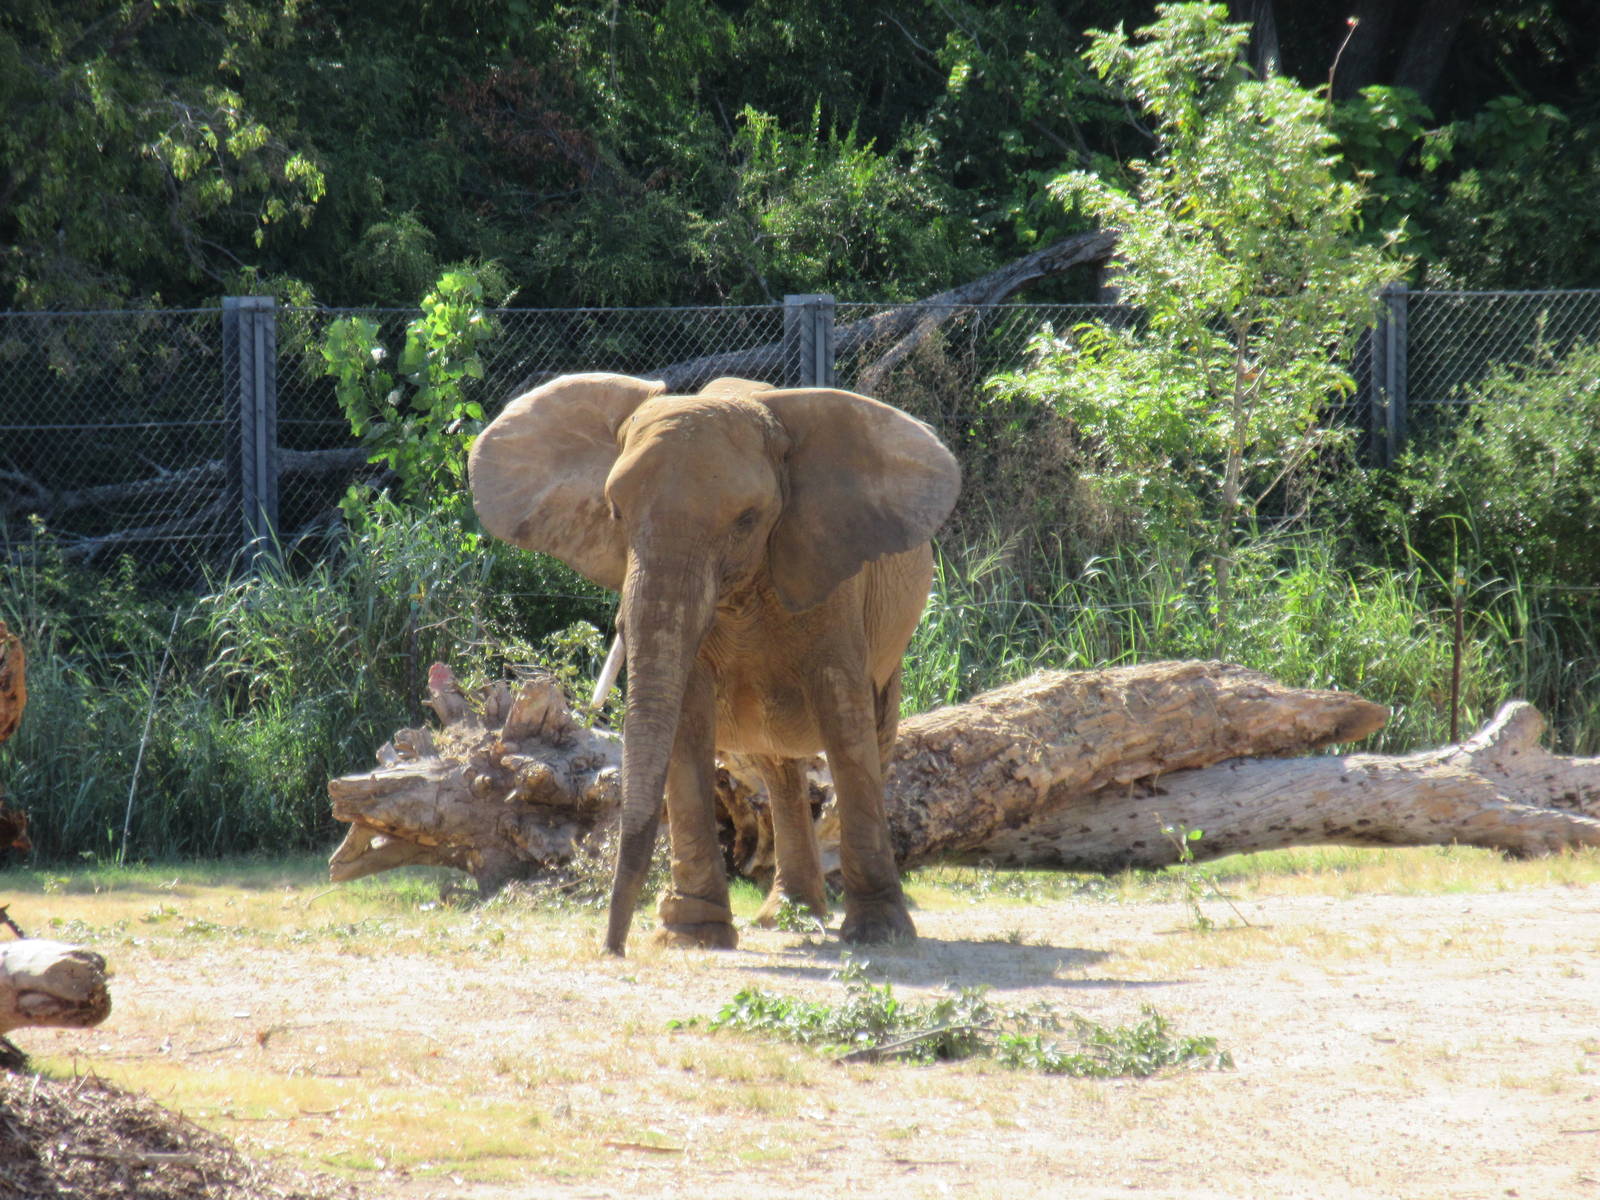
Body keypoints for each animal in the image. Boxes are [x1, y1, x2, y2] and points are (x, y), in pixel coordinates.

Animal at [468, 372, 959, 955]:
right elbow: (685, 719)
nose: (612, 949)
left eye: (747, 520)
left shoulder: (834, 579)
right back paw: (787, 915)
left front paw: (879, 934)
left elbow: (845, 719)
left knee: (873, 737)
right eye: (615, 512)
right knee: (778, 768)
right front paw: (690, 934)